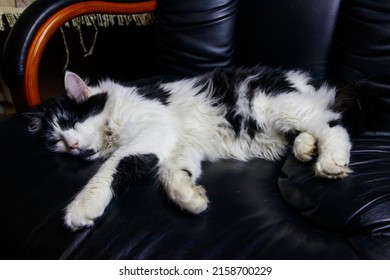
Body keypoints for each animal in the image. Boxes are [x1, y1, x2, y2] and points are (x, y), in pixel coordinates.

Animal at [25, 66, 352, 232]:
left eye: (70, 121)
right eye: (56, 140)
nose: (72, 146)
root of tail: (299, 78)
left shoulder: (155, 129)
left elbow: (114, 166)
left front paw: (82, 206)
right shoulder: (180, 145)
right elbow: (173, 174)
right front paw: (190, 198)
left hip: (277, 105)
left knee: (333, 125)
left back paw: (330, 161)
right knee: (311, 129)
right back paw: (305, 147)